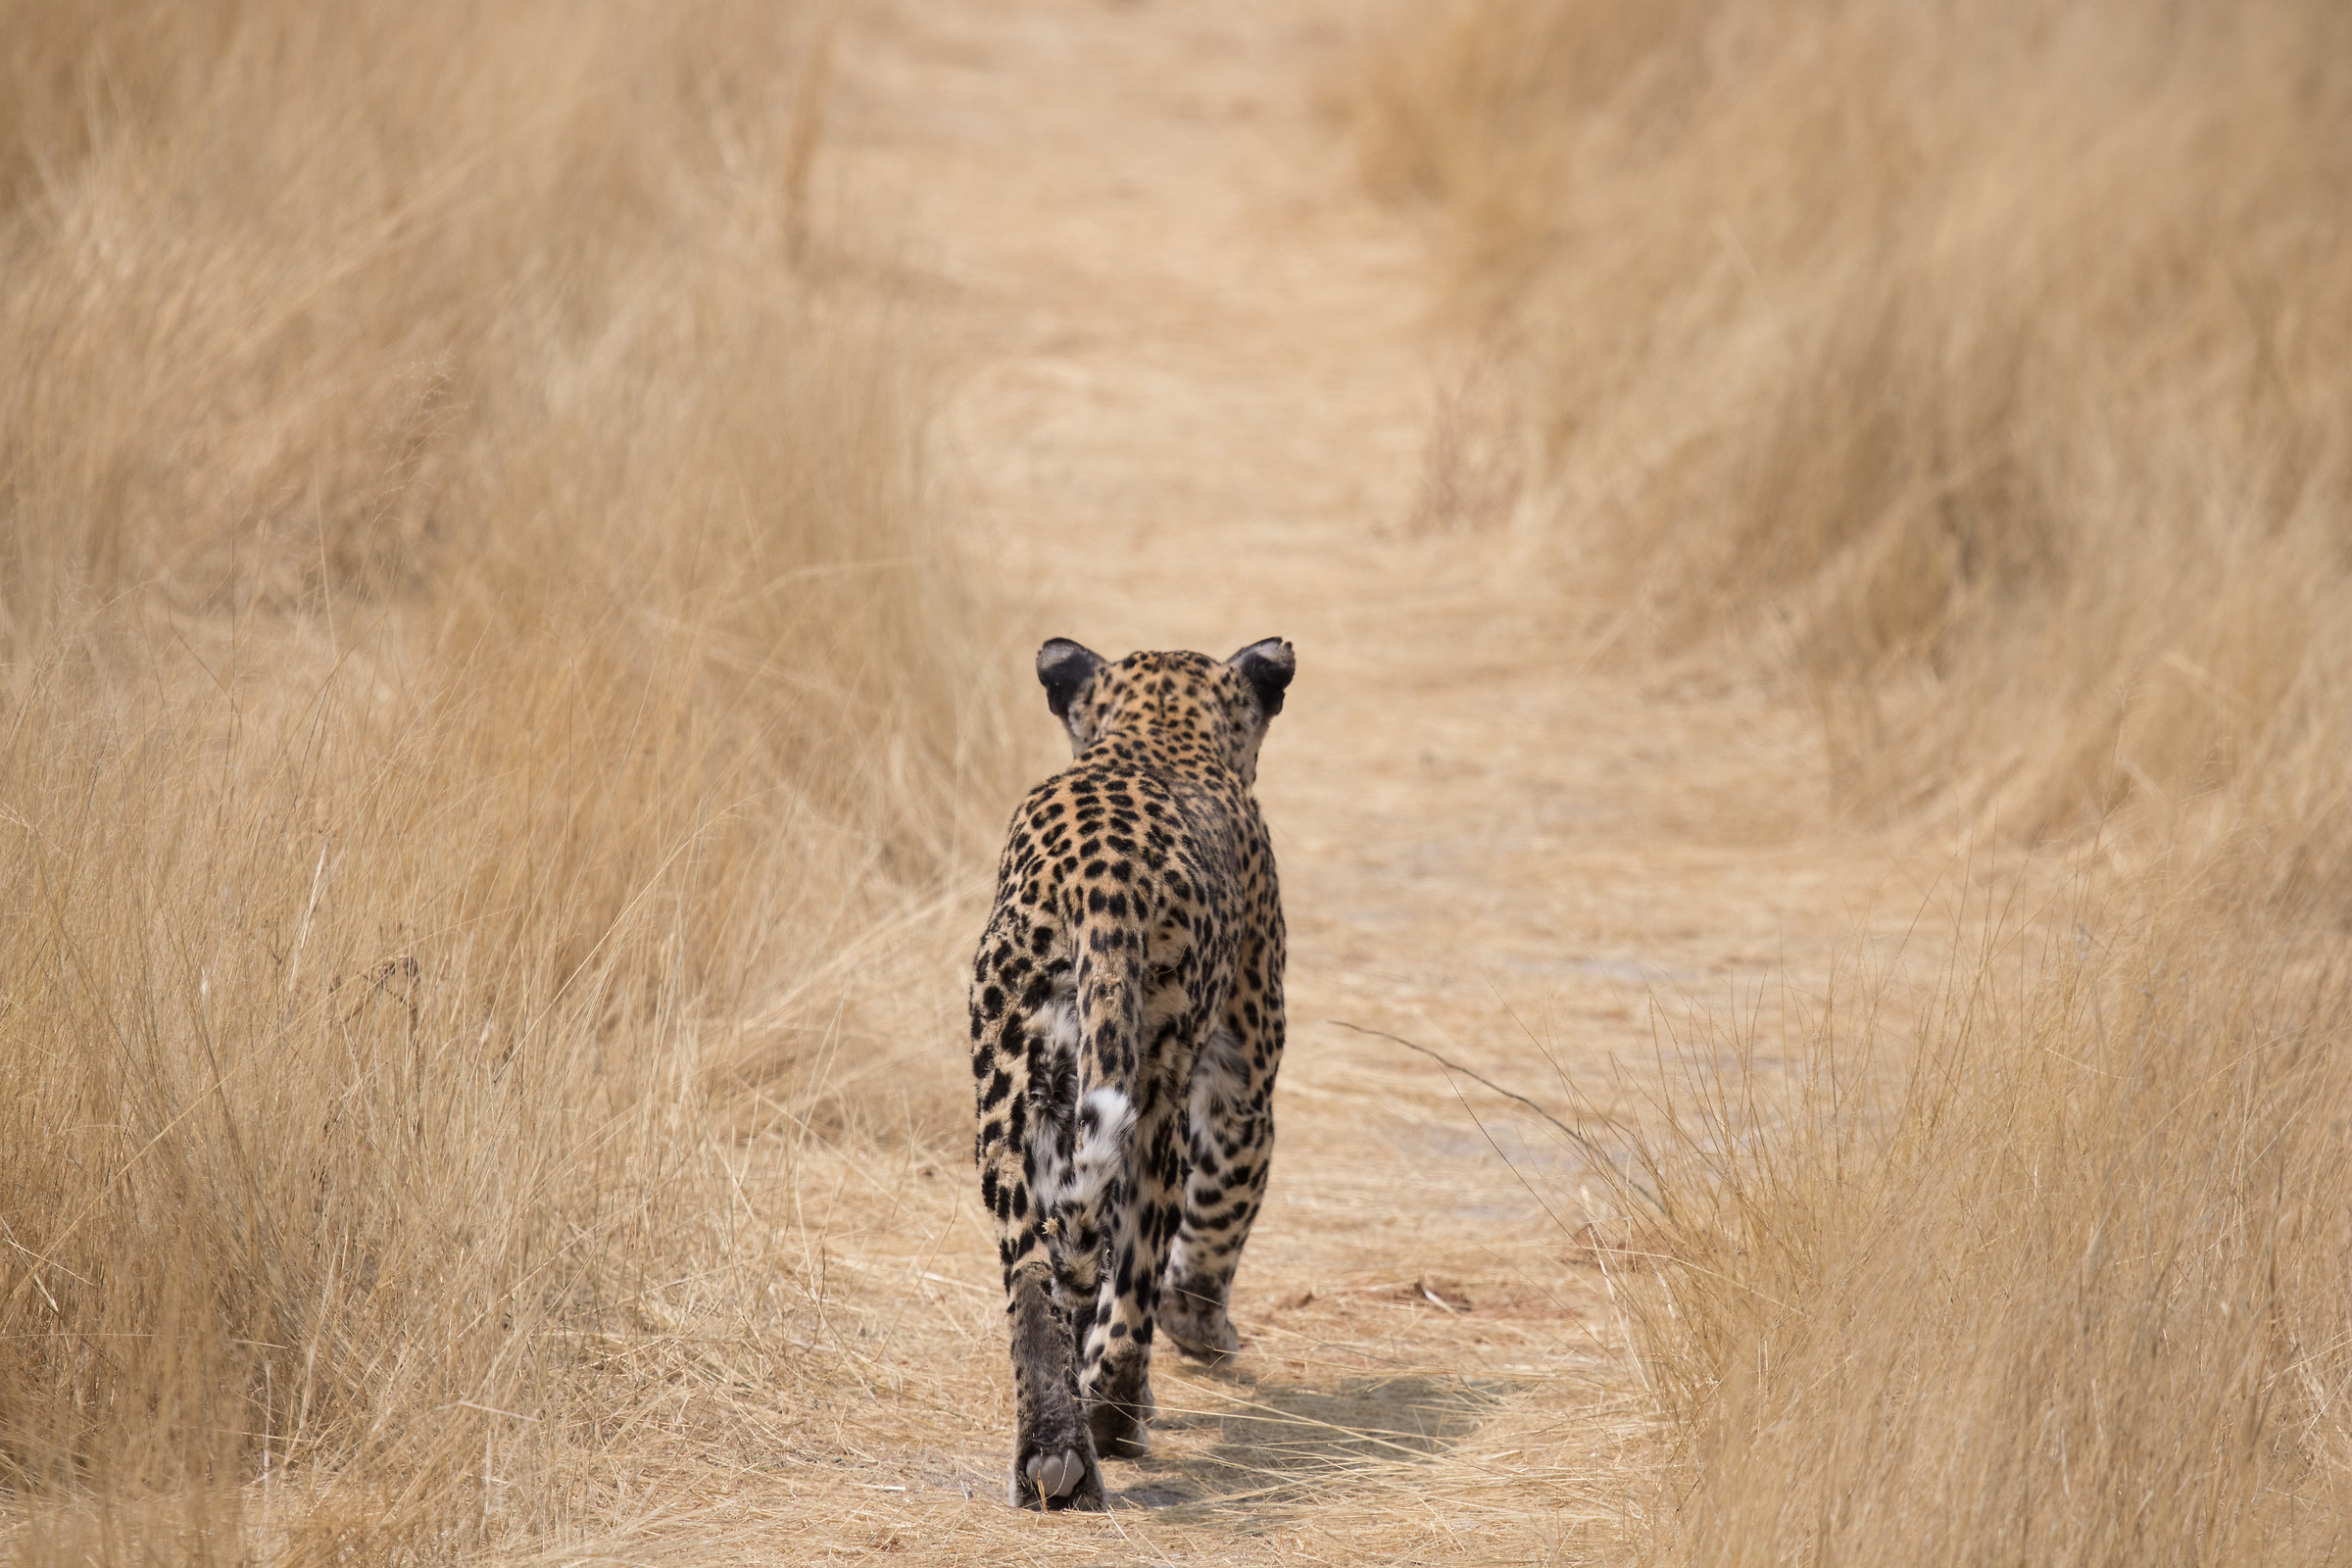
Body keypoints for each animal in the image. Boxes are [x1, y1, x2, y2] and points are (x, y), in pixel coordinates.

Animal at [967, 635, 1294, 1511]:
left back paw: (1055, 1452)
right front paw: (1203, 1329)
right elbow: (1221, 1215)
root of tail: (1102, 889)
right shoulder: (1247, 1076)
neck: (1160, 727)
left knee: (1034, 1274)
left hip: (1011, 1092)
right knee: (1138, 1261)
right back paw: (1113, 1422)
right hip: (1156, 1097)